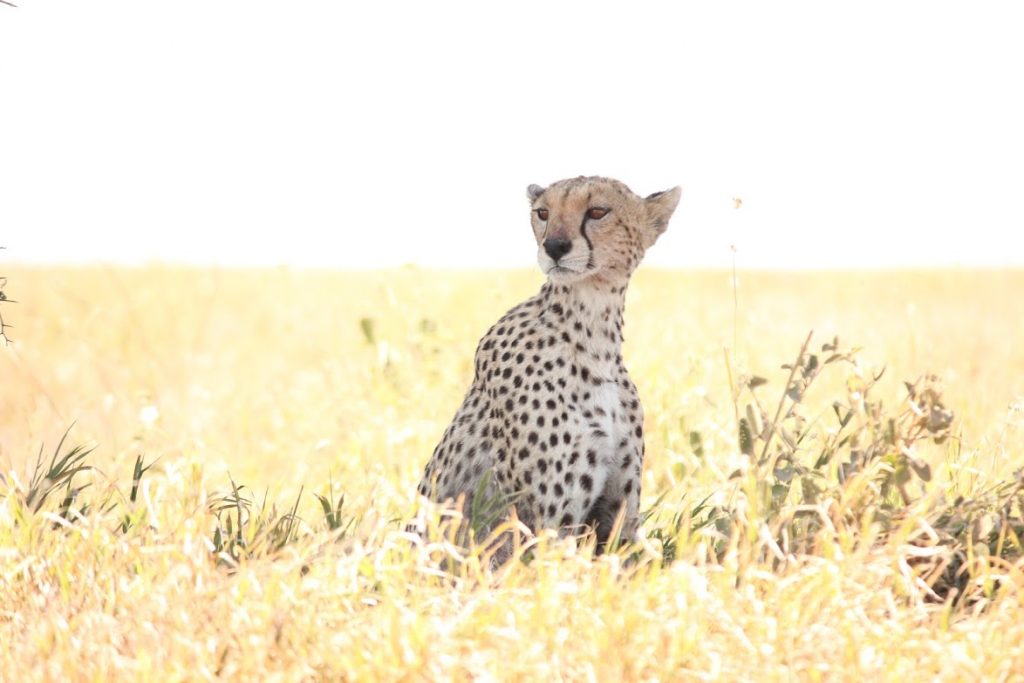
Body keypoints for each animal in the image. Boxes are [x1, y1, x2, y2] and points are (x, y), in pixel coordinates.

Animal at [415, 176, 679, 548]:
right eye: (543, 213)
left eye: (597, 211)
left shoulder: (618, 519)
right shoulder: (550, 523)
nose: (554, 246)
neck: (593, 332)